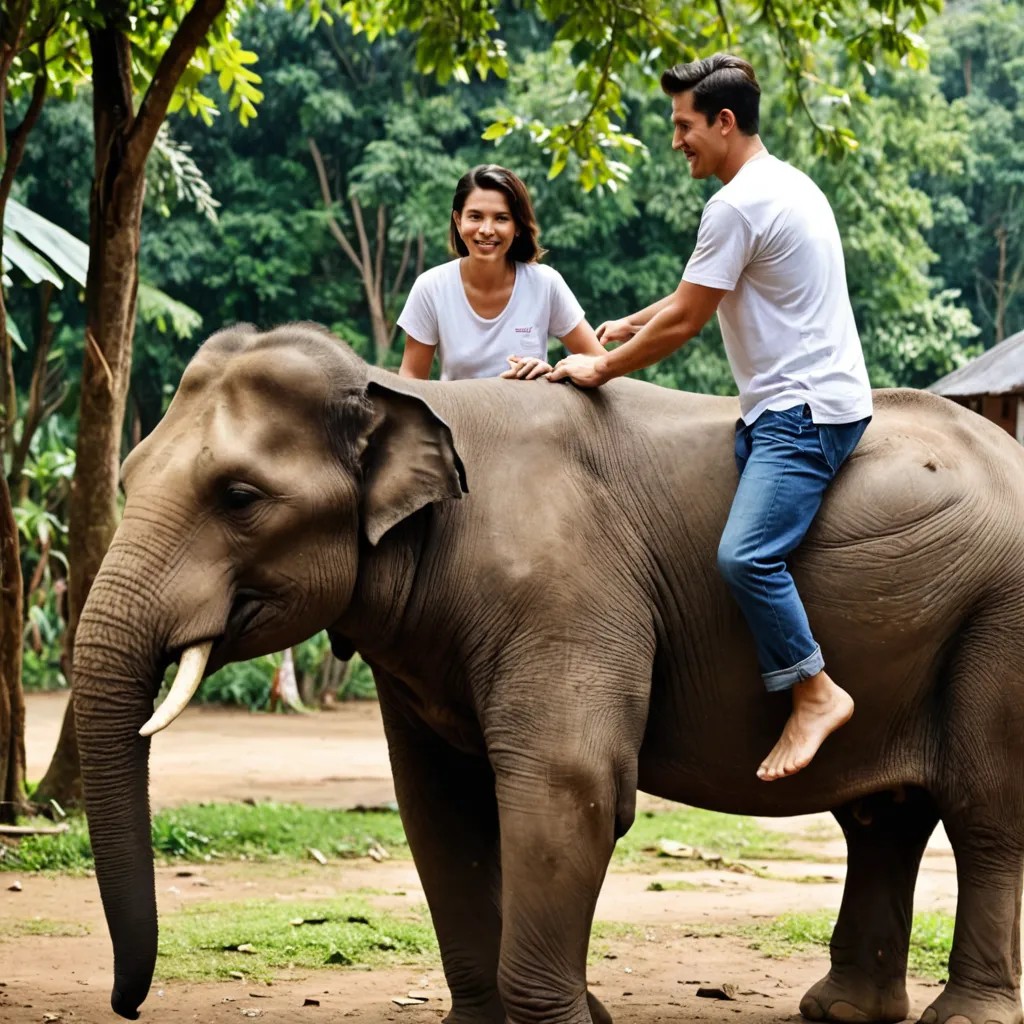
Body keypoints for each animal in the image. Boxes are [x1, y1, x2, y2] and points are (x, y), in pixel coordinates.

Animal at [74, 321, 1024, 1024]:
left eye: (238, 497)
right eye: (128, 474)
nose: (126, 1005)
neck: (405, 394)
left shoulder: (567, 589)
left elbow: (569, 787)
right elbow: (439, 804)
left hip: (999, 623)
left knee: (984, 815)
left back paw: (962, 1017)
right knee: (883, 820)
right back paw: (842, 1010)